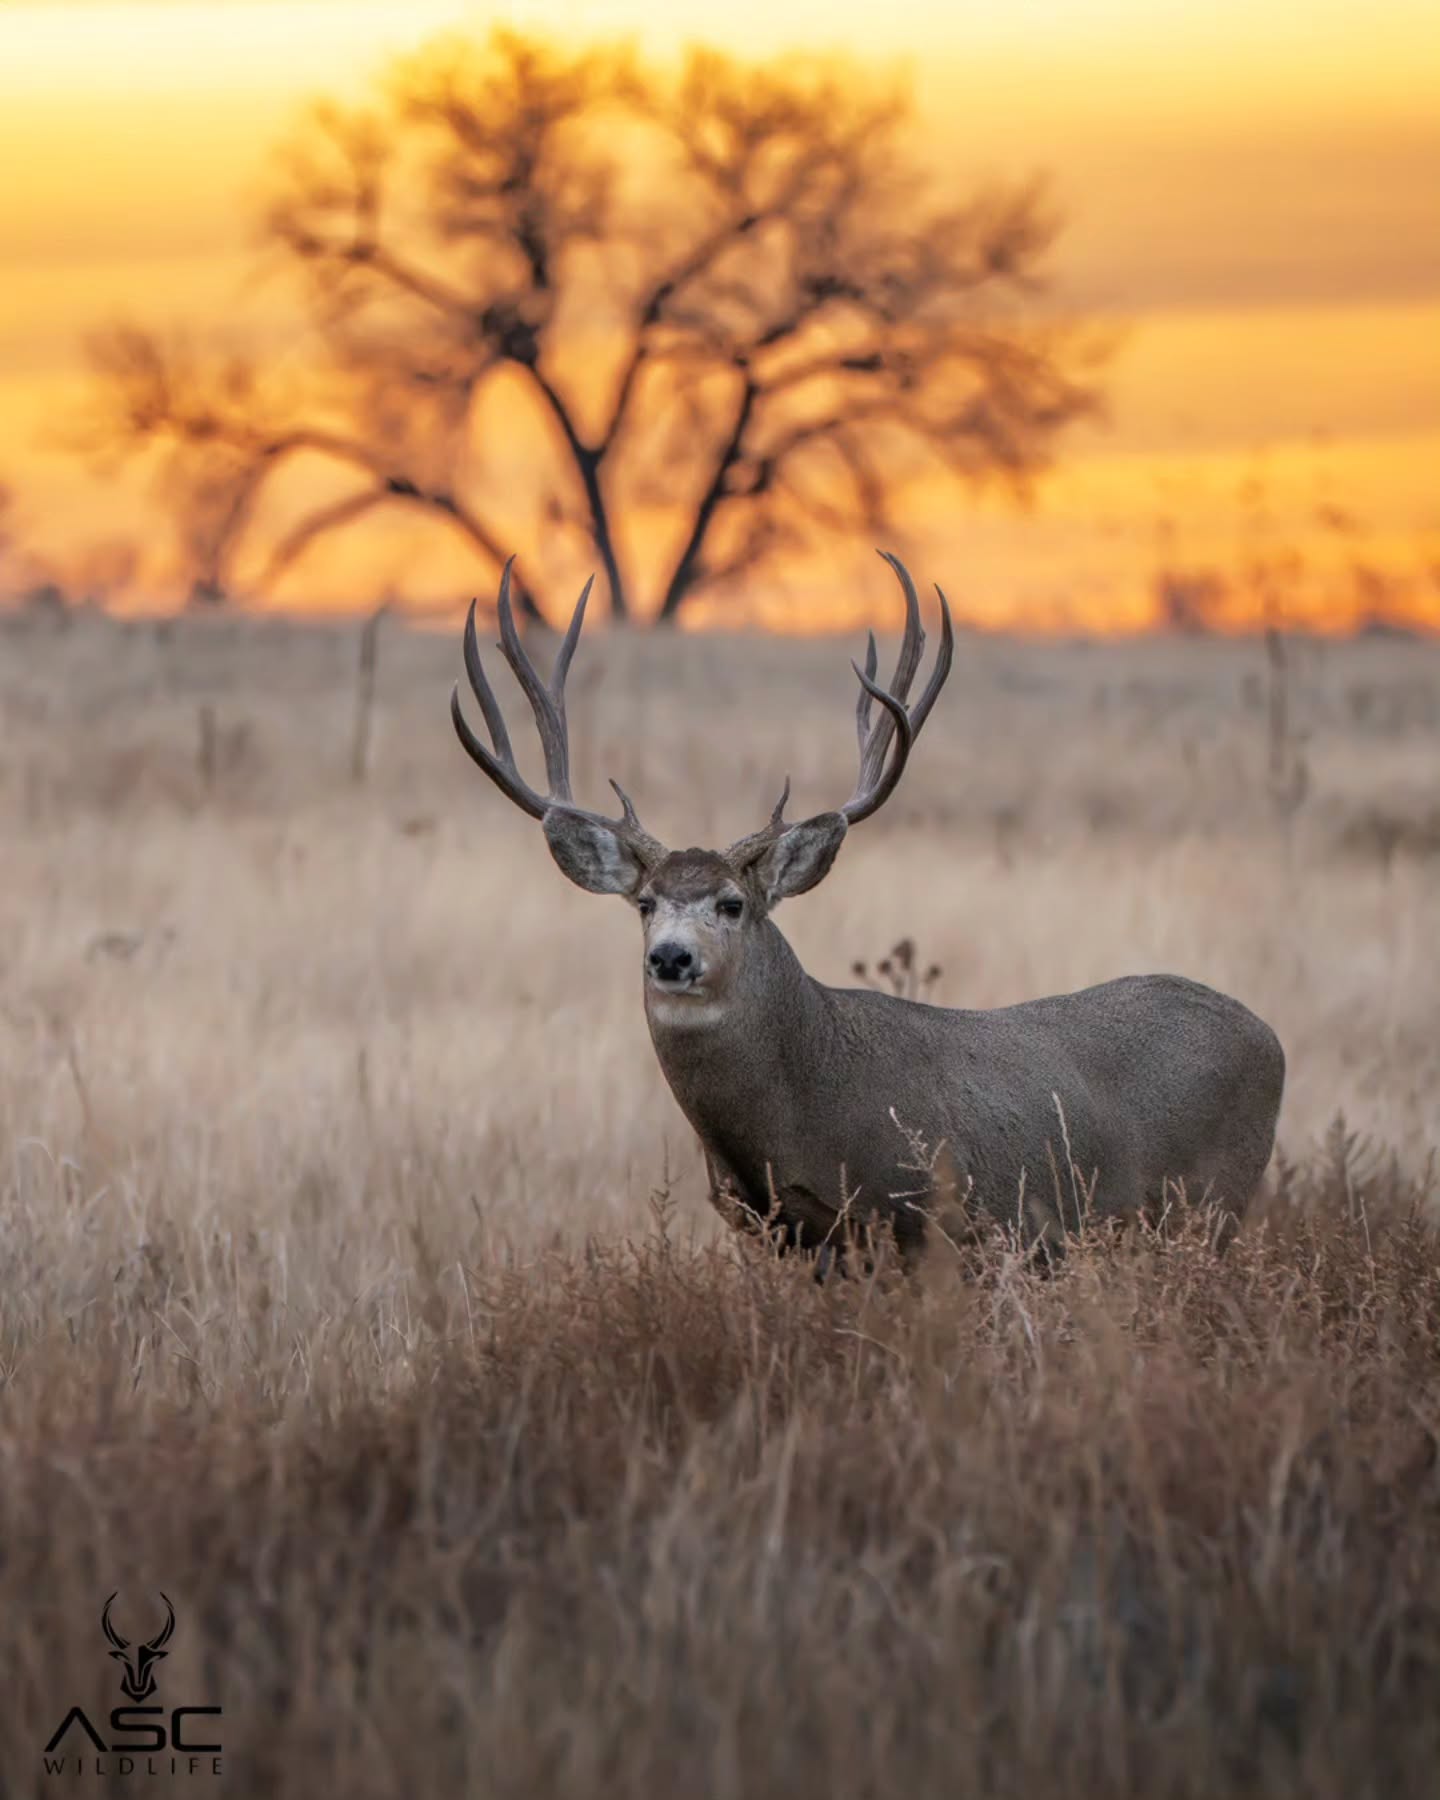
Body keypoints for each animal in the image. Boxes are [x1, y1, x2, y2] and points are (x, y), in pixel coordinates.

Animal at [451, 554, 1285, 1261]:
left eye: (732, 903)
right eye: (646, 902)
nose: (671, 957)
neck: (798, 1102)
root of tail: (1270, 1038)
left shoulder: (929, 1219)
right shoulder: (782, 1236)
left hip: (1214, 1199)